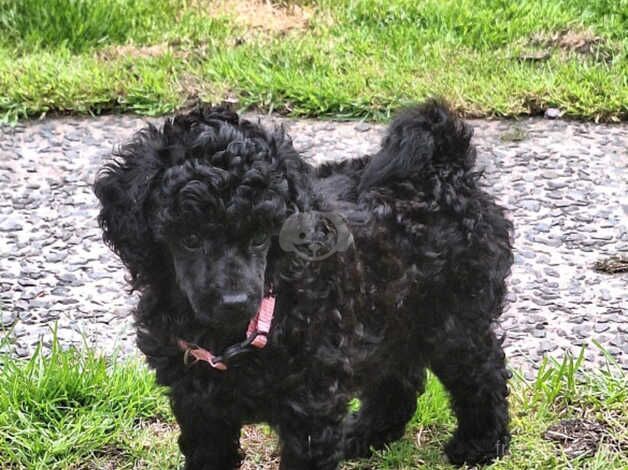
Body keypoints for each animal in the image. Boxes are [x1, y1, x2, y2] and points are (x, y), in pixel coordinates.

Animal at [94, 97, 516, 468]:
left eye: (261, 238)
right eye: (190, 238)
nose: (235, 301)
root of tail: (443, 169)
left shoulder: (311, 407)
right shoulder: (198, 405)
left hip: (454, 316)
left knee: (482, 372)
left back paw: (480, 444)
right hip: (388, 311)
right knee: (399, 375)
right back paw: (365, 434)